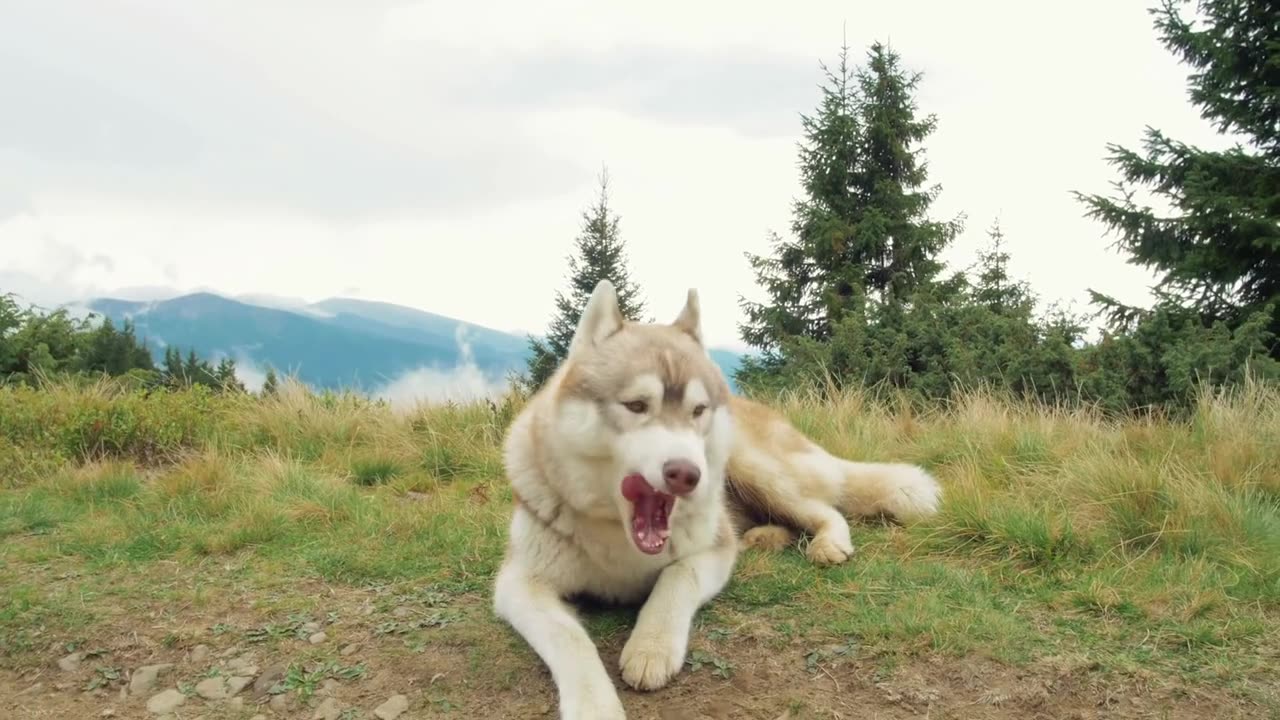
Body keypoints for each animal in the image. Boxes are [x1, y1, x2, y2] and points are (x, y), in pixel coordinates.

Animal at [488, 278, 942, 712]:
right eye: (636, 405)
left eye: (697, 410)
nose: (687, 475)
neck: (619, 537)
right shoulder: (520, 583)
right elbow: (569, 638)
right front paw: (594, 705)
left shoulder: (712, 551)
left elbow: (675, 579)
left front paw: (651, 645)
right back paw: (765, 537)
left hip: (753, 469)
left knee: (825, 509)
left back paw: (828, 542)